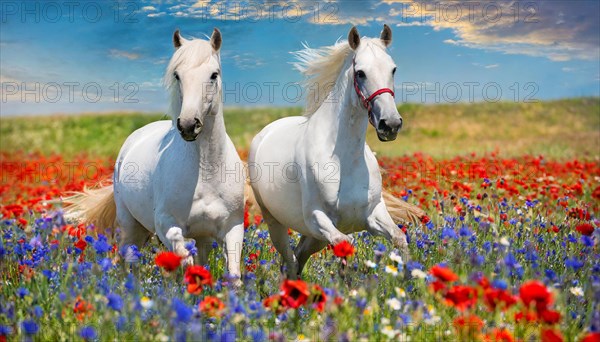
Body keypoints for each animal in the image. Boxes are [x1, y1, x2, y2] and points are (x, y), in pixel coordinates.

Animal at [69, 28, 246, 280]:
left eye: (214, 74)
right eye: (177, 75)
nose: (188, 125)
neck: (205, 170)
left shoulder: (233, 228)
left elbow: (233, 274)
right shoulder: (166, 224)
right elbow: (183, 257)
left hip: (198, 236)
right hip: (130, 224)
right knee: (128, 258)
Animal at [248, 26, 412, 278]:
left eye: (393, 69)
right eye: (361, 73)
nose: (390, 124)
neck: (344, 160)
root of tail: (264, 133)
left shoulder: (373, 213)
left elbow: (400, 239)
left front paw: (410, 280)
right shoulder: (318, 218)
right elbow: (346, 246)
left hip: (314, 238)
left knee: (297, 258)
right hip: (278, 224)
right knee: (290, 261)